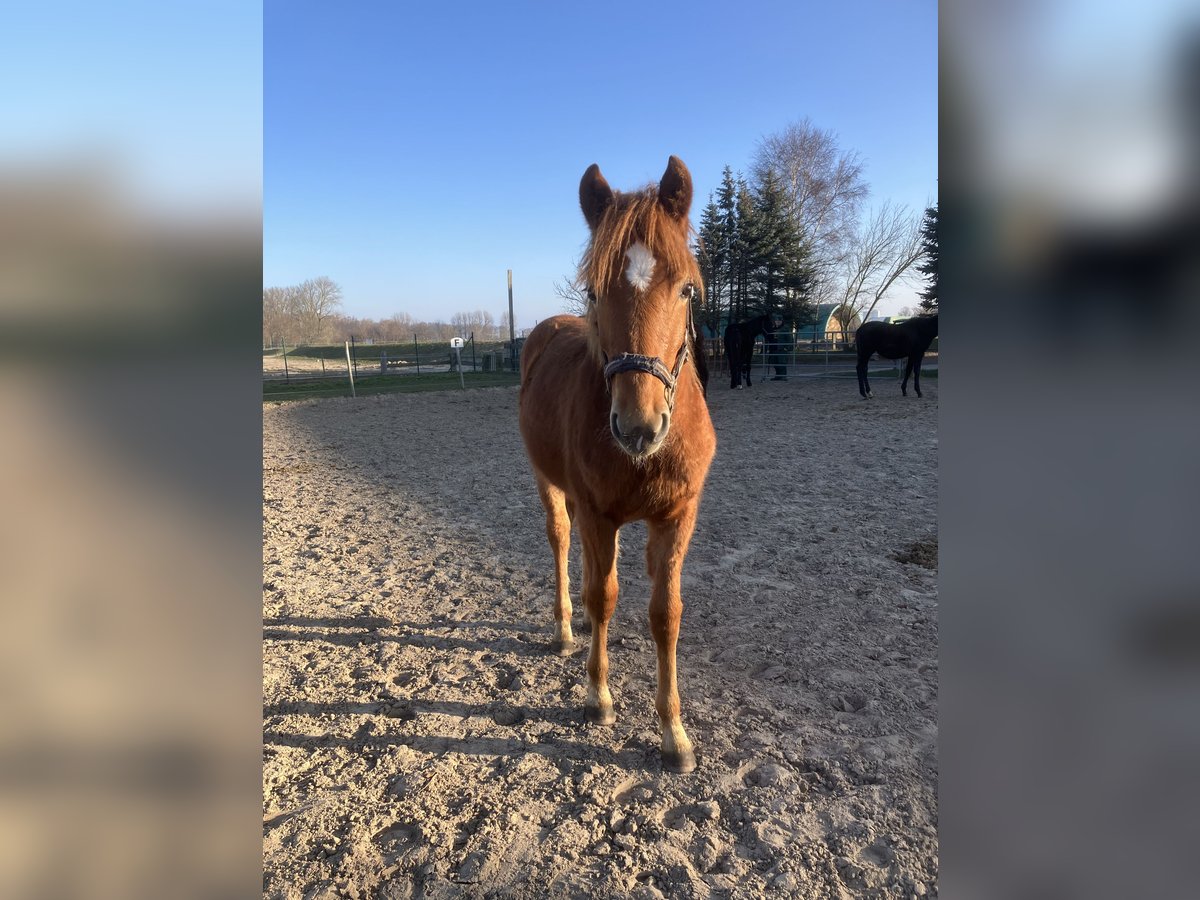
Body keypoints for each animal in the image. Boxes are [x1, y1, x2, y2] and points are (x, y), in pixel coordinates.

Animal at [520, 157, 715, 777]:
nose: (638, 425)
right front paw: (598, 696)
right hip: (551, 485)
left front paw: (674, 732)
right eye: (594, 289)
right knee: (564, 543)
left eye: (686, 289)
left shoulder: (677, 517)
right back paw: (565, 627)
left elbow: (665, 613)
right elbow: (604, 596)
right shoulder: (598, 512)